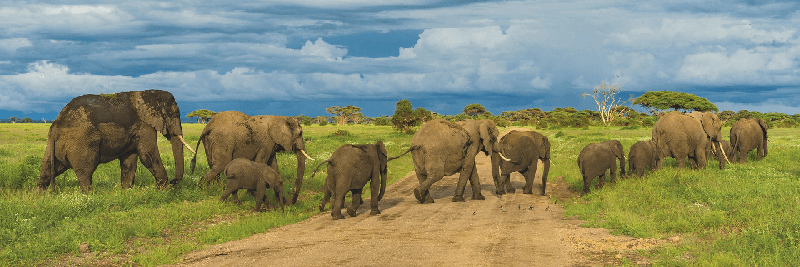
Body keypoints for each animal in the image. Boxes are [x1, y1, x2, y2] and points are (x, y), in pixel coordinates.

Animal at [38, 90, 198, 193]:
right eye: (173, 114)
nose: (173, 182)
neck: (148, 93)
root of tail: (55, 127)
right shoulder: (143, 125)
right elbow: (147, 154)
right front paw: (162, 190)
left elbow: (130, 159)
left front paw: (126, 191)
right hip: (81, 143)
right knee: (85, 170)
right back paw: (90, 195)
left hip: (54, 146)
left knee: (49, 168)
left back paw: (39, 195)